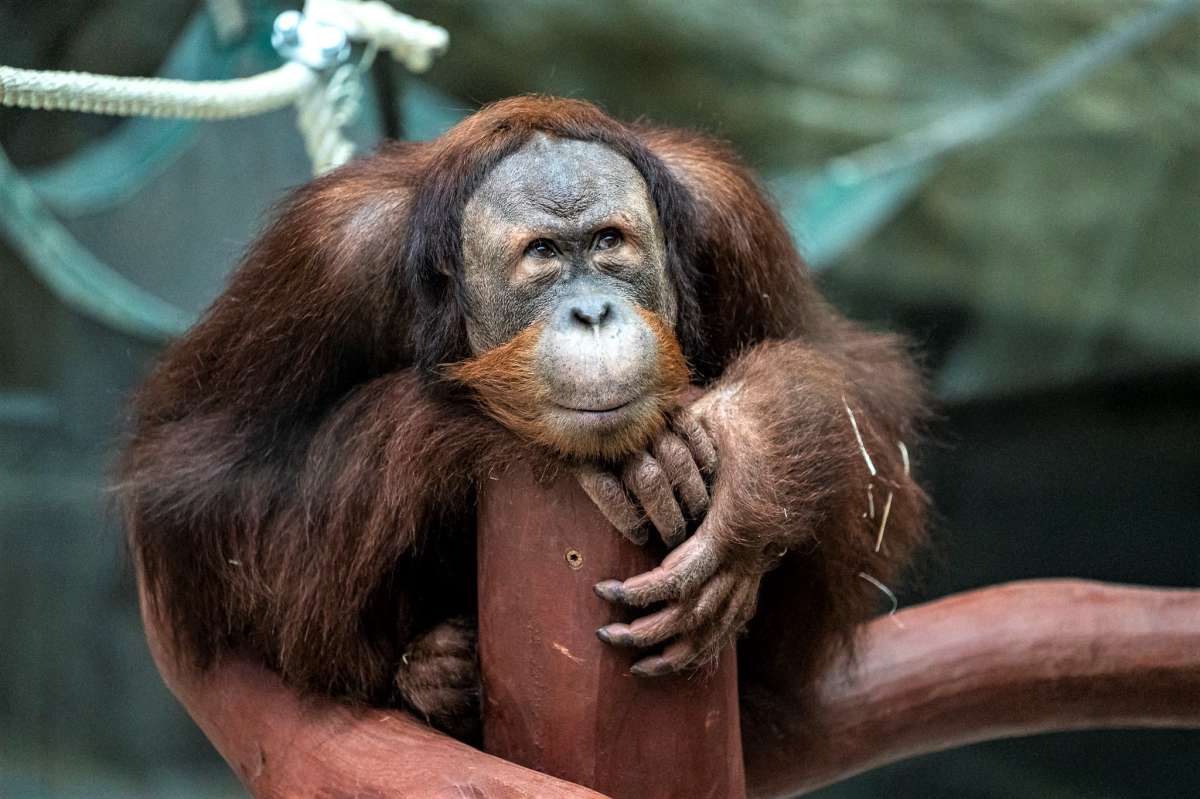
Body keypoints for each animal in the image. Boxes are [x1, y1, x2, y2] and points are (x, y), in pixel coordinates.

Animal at [119, 96, 926, 738]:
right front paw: (469, 420)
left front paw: (751, 450)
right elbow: (195, 487)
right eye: (543, 254)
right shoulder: (326, 254)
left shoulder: (726, 211)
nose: (594, 311)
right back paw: (434, 674)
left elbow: (863, 395)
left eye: (608, 242)